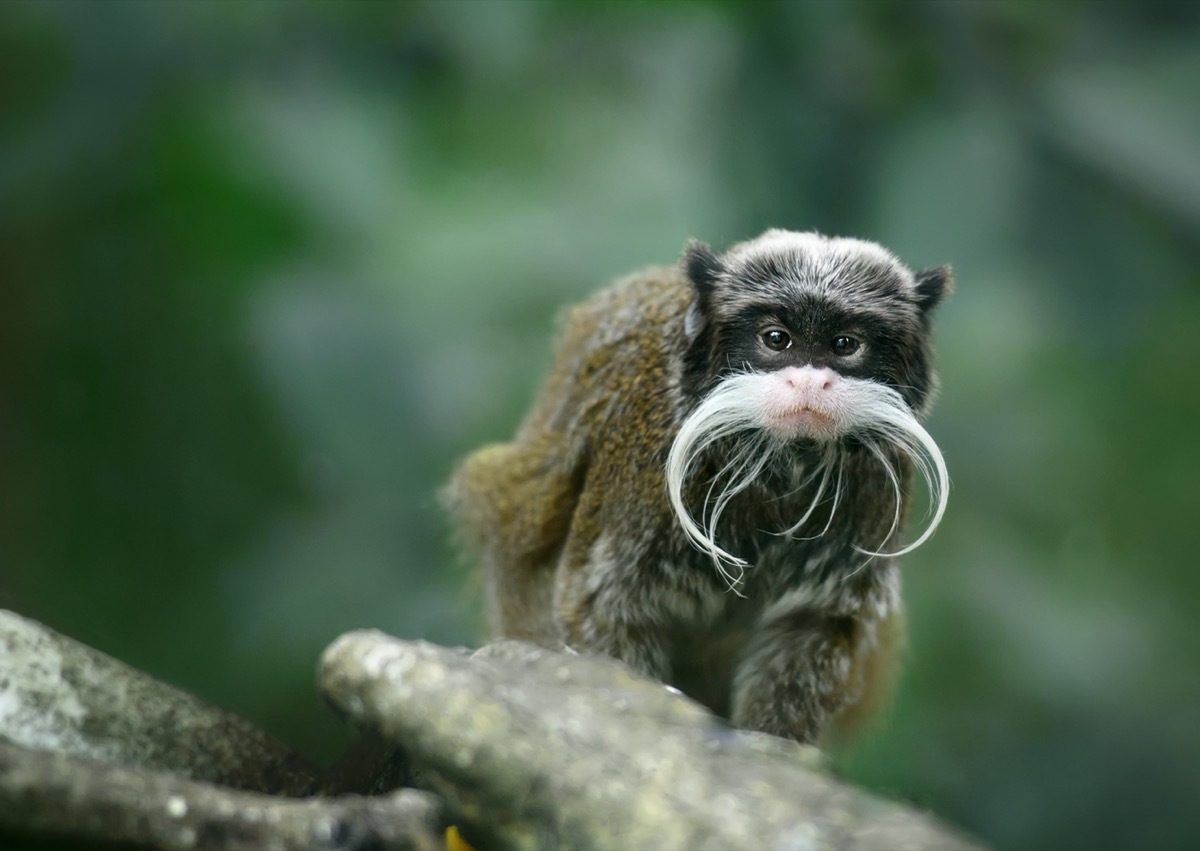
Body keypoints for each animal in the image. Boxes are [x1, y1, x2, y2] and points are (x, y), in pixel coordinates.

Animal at [446, 229, 950, 739]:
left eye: (845, 344)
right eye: (777, 339)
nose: (810, 382)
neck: (781, 461)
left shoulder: (871, 496)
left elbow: (812, 628)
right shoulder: (643, 465)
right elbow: (603, 607)